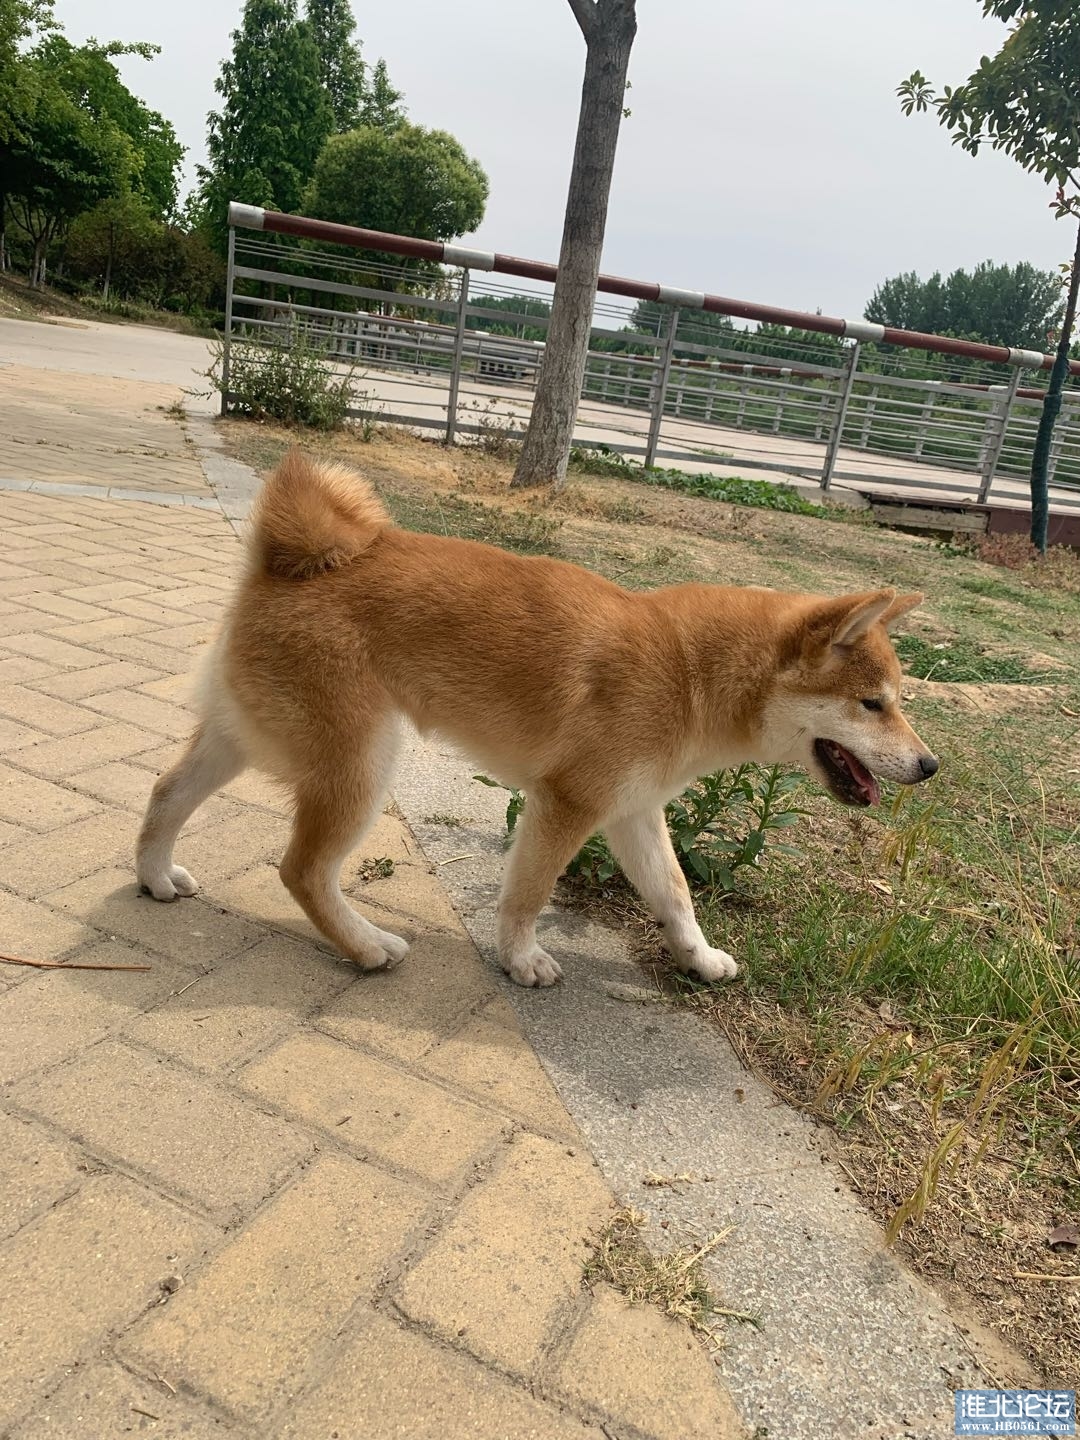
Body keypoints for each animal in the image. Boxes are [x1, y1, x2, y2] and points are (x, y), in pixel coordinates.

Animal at [136, 451, 938, 987]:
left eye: (898, 699)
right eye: (874, 704)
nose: (931, 766)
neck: (689, 672)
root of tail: (289, 560)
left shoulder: (634, 811)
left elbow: (675, 895)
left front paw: (699, 956)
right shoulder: (568, 803)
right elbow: (528, 894)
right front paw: (520, 959)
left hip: (243, 737)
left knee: (164, 796)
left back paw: (154, 878)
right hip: (362, 765)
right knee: (302, 870)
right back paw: (366, 947)